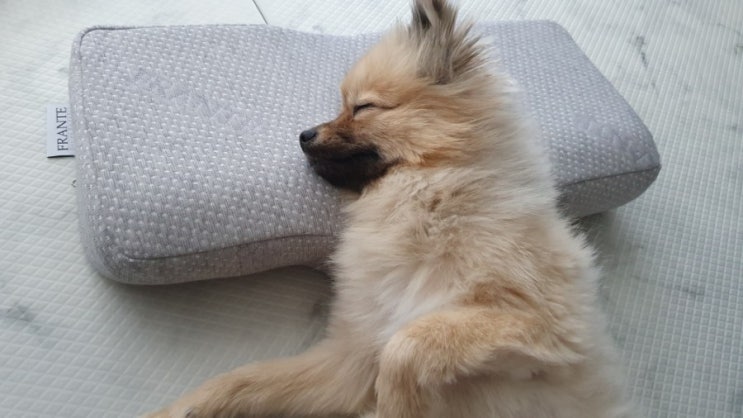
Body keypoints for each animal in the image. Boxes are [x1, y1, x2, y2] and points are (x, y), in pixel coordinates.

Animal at [145, 1, 634, 417]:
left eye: (363, 107)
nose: (303, 135)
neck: (432, 195)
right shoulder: (352, 356)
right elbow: (240, 381)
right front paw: (176, 410)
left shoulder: (544, 326)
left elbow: (406, 346)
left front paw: (394, 405)